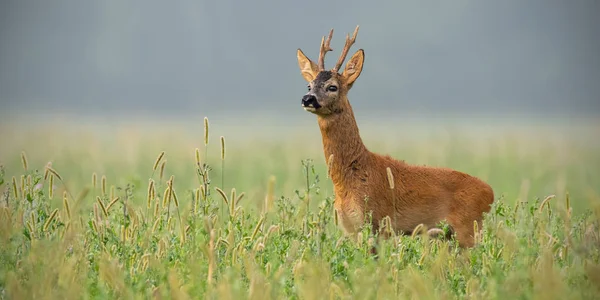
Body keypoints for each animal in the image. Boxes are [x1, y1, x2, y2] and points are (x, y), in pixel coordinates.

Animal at [296, 25, 496, 247]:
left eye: (332, 86)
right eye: (309, 85)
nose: (307, 99)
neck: (354, 173)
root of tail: (490, 193)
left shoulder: (379, 223)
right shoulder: (351, 228)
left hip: (468, 230)